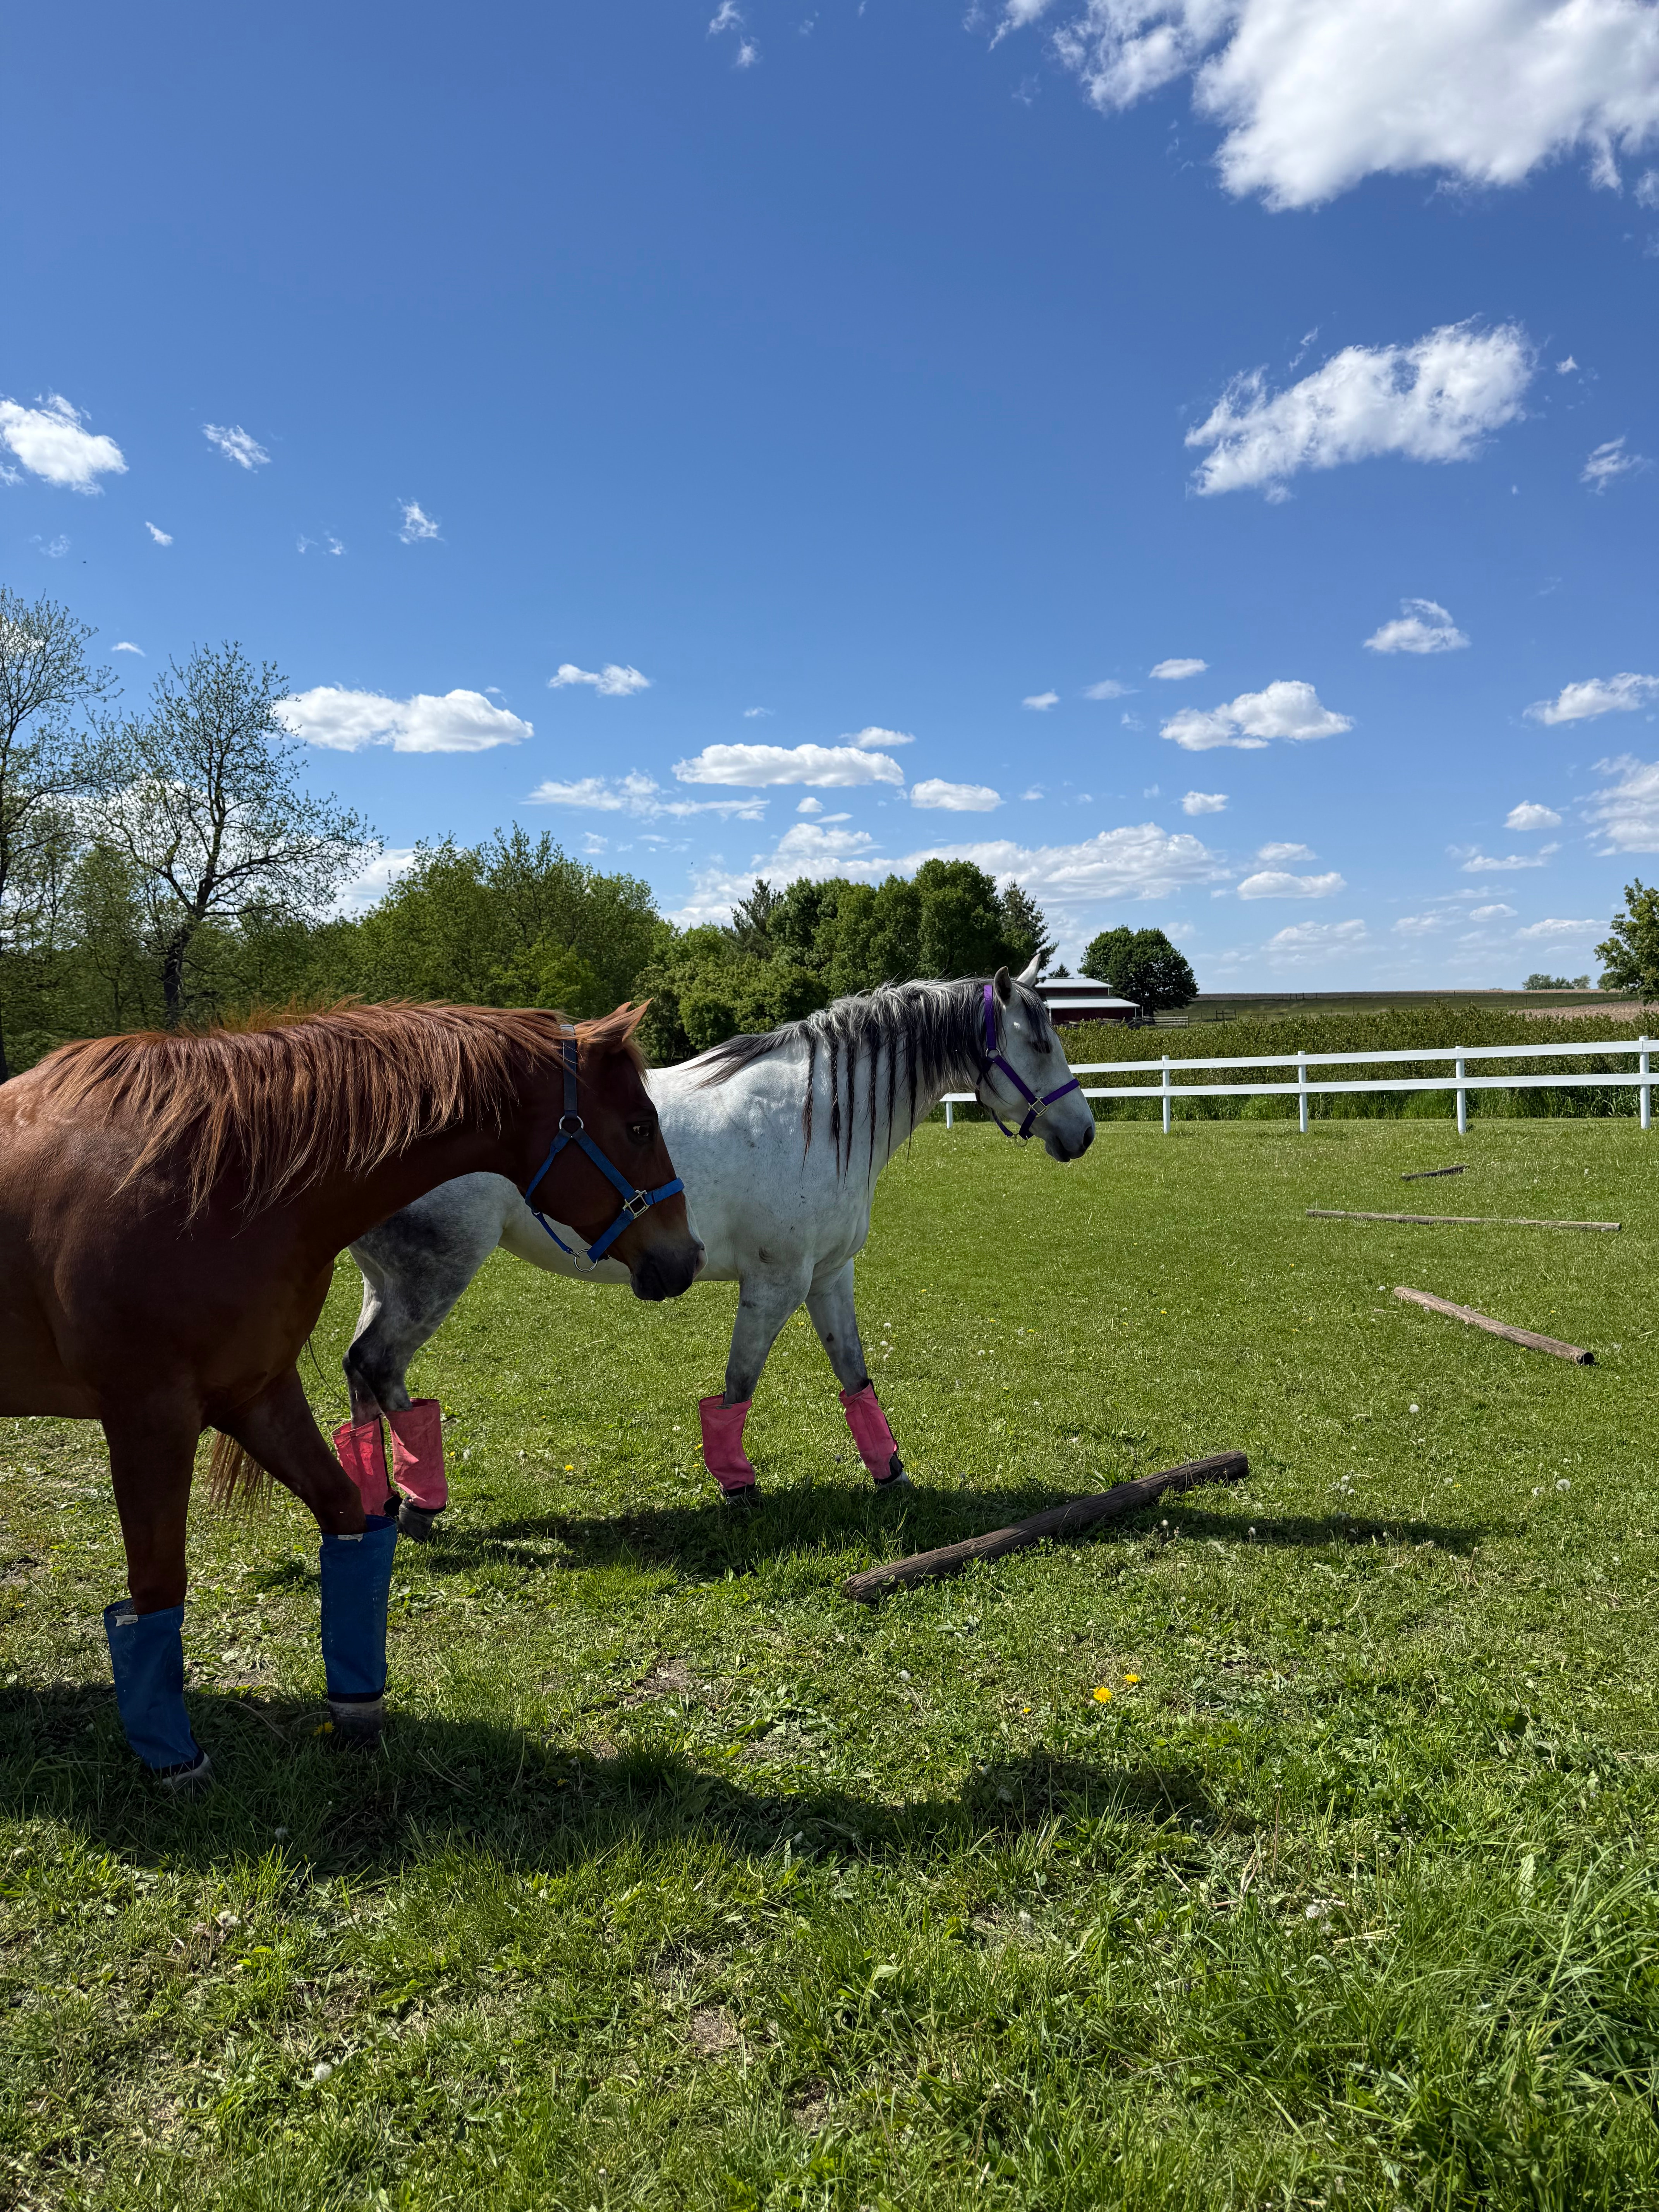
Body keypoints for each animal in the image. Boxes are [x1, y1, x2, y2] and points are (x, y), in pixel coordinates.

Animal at [0, 1000, 701, 1784]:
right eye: (639, 1126)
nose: (685, 1256)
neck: (212, 1185)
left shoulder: (259, 1397)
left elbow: (346, 1518)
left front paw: (357, 1701)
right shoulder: (147, 1420)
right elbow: (156, 1588)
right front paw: (173, 1757)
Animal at [345, 964, 1093, 1515]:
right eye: (1040, 1043)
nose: (1083, 1133)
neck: (815, 1114)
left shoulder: (829, 1277)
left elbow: (855, 1376)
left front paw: (891, 1473)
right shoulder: (777, 1283)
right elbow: (737, 1387)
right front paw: (738, 1486)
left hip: (385, 1283)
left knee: (360, 1377)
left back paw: (378, 1500)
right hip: (433, 1277)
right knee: (381, 1369)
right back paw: (421, 1505)